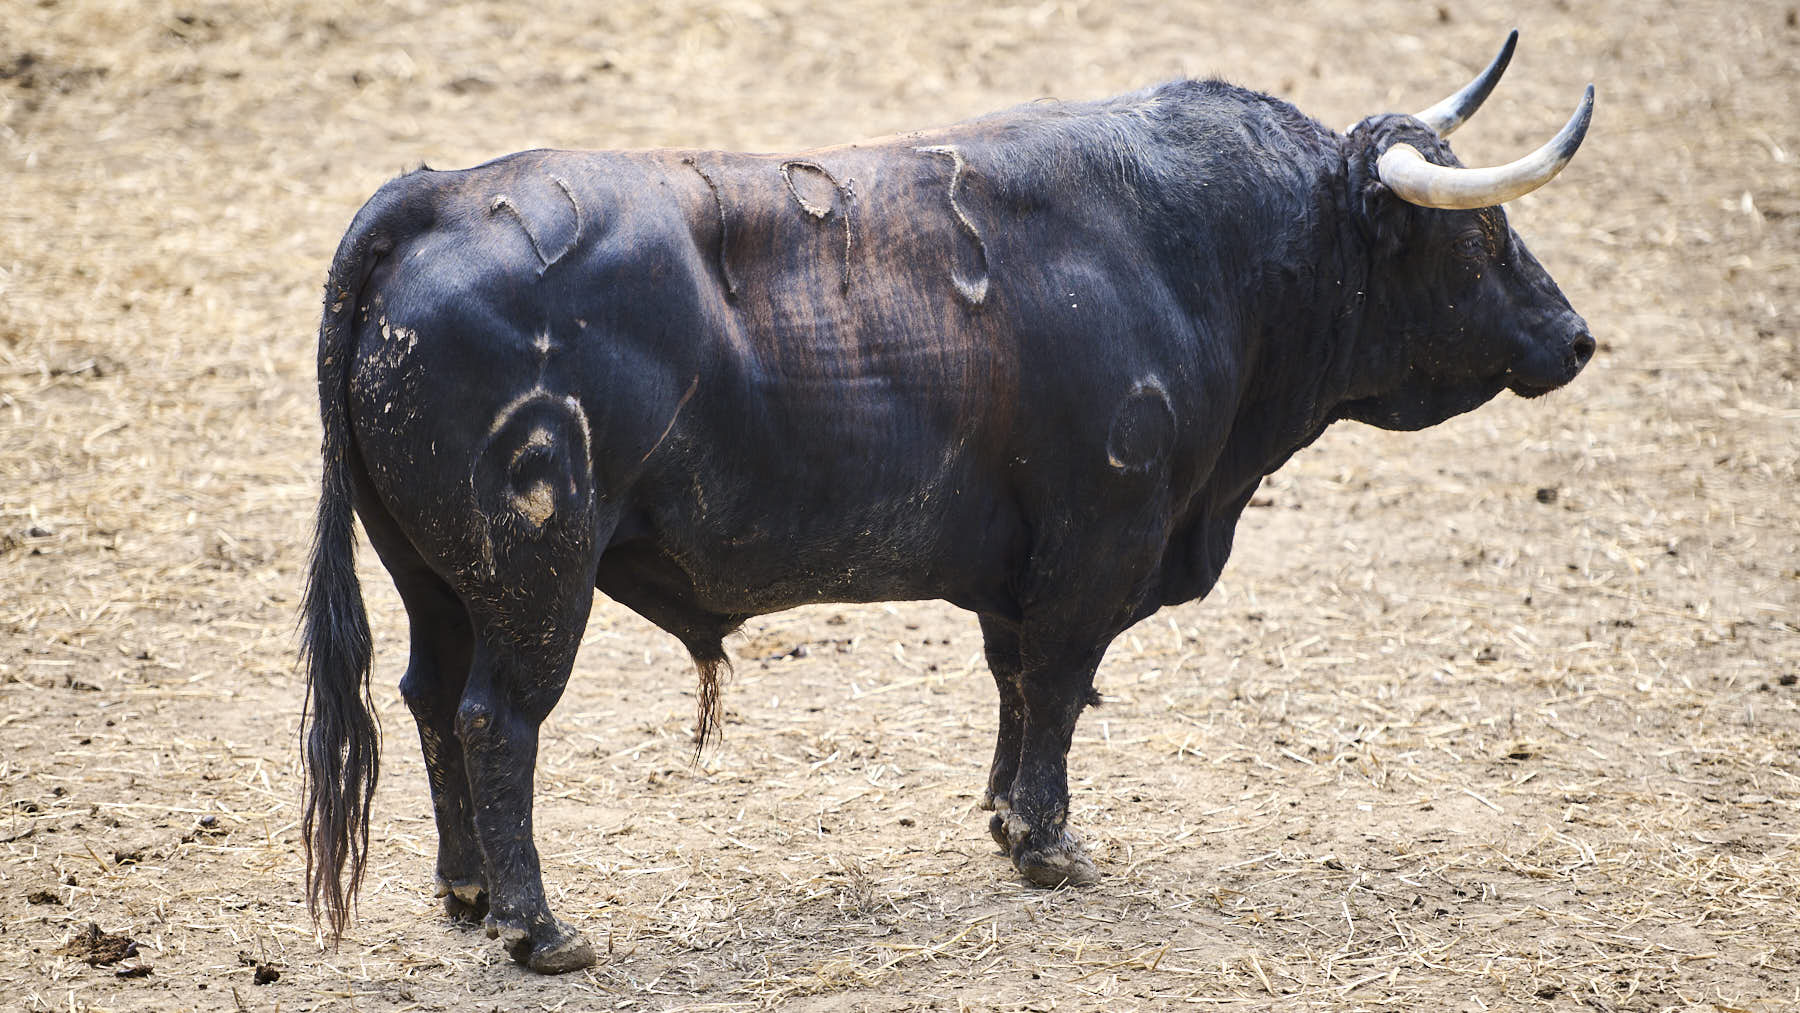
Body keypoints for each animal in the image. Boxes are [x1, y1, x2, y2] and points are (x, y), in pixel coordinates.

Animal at [302, 33, 1598, 971]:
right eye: (1476, 231)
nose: (1577, 336)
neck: (1202, 249)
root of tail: (438, 196)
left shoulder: (1017, 571)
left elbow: (1018, 682)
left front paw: (1004, 817)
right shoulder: (1099, 541)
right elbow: (1064, 683)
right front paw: (1049, 843)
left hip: (437, 580)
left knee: (428, 700)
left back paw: (470, 889)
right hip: (537, 576)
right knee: (496, 720)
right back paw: (539, 925)